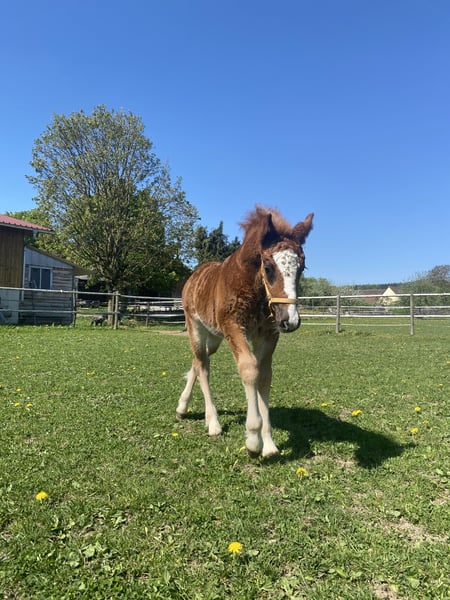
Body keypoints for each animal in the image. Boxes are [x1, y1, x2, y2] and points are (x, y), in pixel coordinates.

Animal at [176, 206, 314, 458]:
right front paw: (253, 439)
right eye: (268, 267)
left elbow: (264, 375)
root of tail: (194, 276)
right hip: (196, 328)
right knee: (202, 365)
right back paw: (213, 422)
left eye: (302, 267)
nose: (290, 320)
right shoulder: (233, 326)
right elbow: (249, 369)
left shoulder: (268, 333)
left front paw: (269, 444)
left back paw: (183, 408)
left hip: (214, 337)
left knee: (198, 362)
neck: (255, 291)